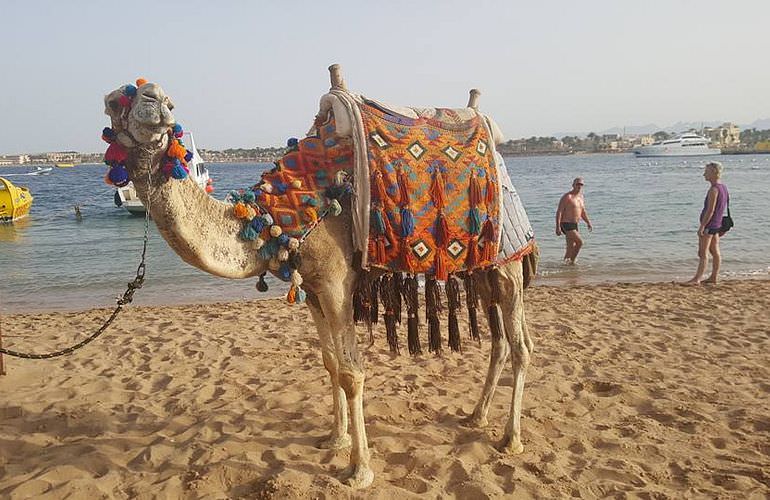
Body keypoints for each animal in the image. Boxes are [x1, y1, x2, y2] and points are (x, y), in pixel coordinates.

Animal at [103, 66, 536, 488]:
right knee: (501, 341)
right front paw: (334, 438)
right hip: (484, 270)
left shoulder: (335, 283)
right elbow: (329, 363)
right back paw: (476, 416)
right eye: (112, 102)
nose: (156, 98)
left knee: (520, 346)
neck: (272, 219)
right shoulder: (311, 290)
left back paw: (511, 438)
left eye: (169, 101)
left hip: (508, 261)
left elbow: (351, 372)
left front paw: (359, 470)